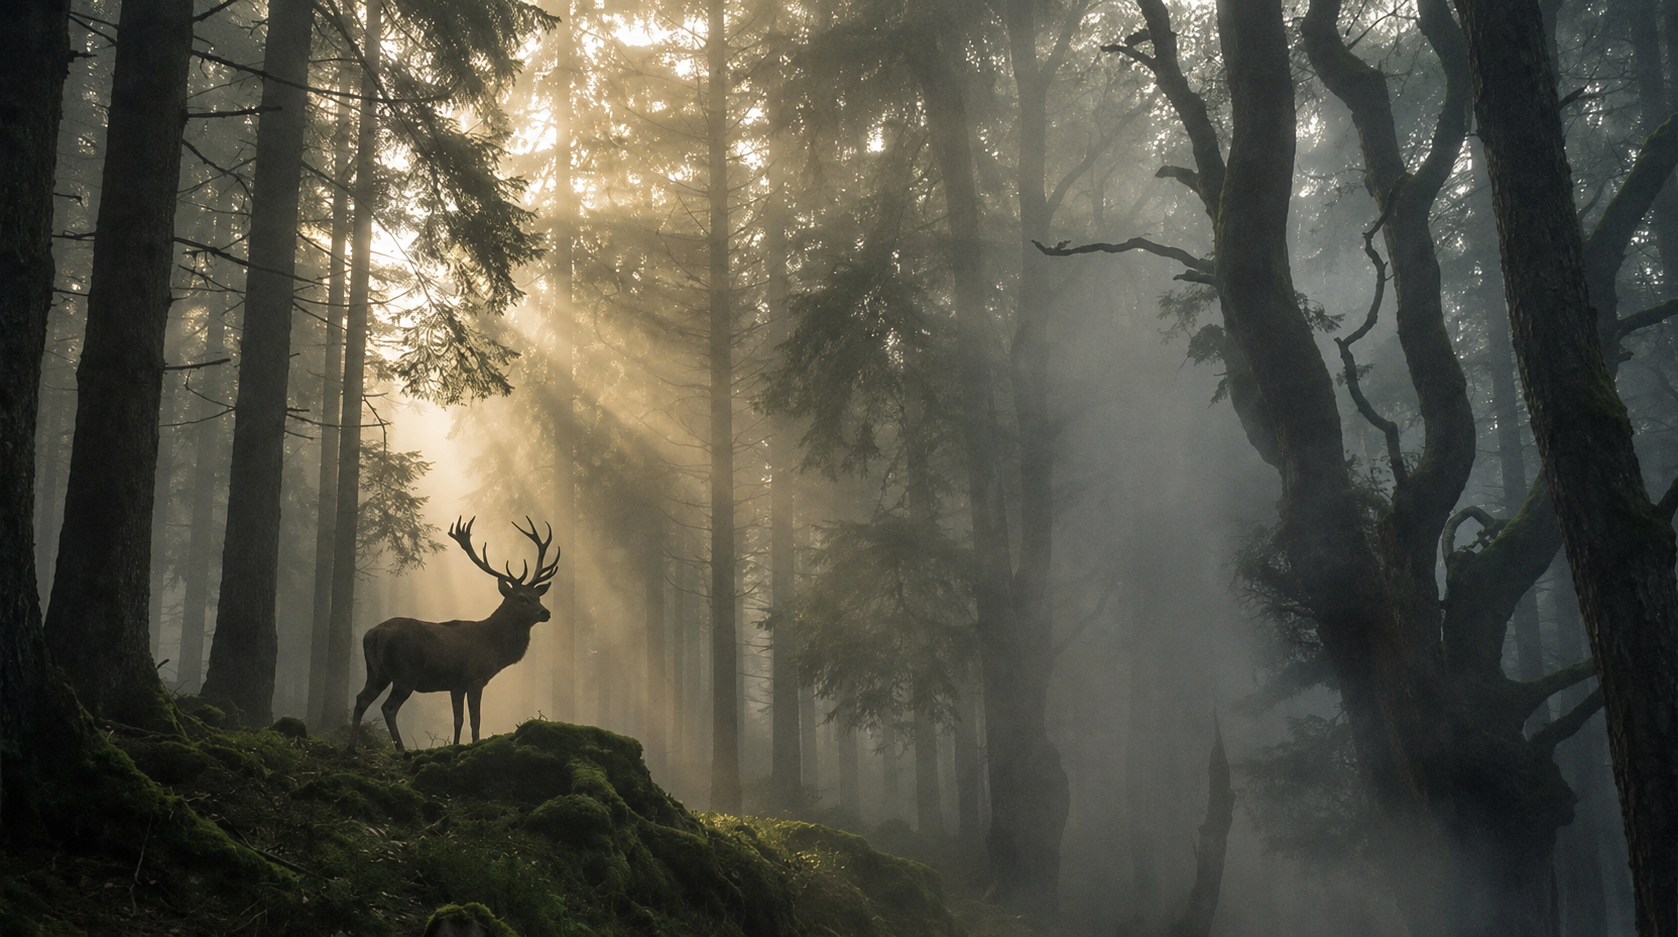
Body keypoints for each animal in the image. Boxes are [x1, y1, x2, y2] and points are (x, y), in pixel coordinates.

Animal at [348, 515, 559, 753]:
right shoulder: (475, 678)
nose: (546, 612)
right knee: (388, 707)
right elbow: (475, 720)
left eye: (538, 597)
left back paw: (351, 748)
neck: (494, 647)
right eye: (522, 598)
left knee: (361, 699)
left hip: (377, 671)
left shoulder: (456, 685)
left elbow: (457, 719)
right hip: (406, 671)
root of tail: (374, 634)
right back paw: (402, 751)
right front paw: (475, 744)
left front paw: (456, 746)